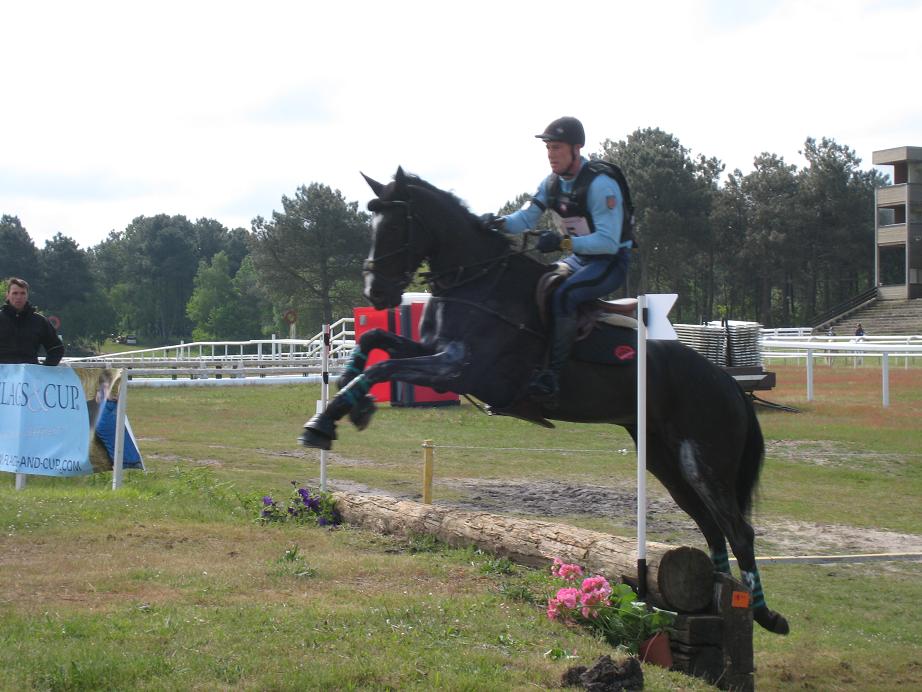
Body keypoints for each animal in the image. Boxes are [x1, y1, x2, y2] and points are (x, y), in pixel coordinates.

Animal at [304, 169, 792, 636]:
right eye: (372, 221)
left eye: (396, 225)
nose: (377, 293)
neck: (477, 281)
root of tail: (726, 382)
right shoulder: (434, 353)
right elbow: (373, 341)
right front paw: (340, 409)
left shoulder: (456, 369)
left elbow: (383, 366)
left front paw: (328, 421)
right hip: (663, 460)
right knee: (710, 525)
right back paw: (717, 595)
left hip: (703, 460)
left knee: (738, 530)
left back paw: (764, 614)